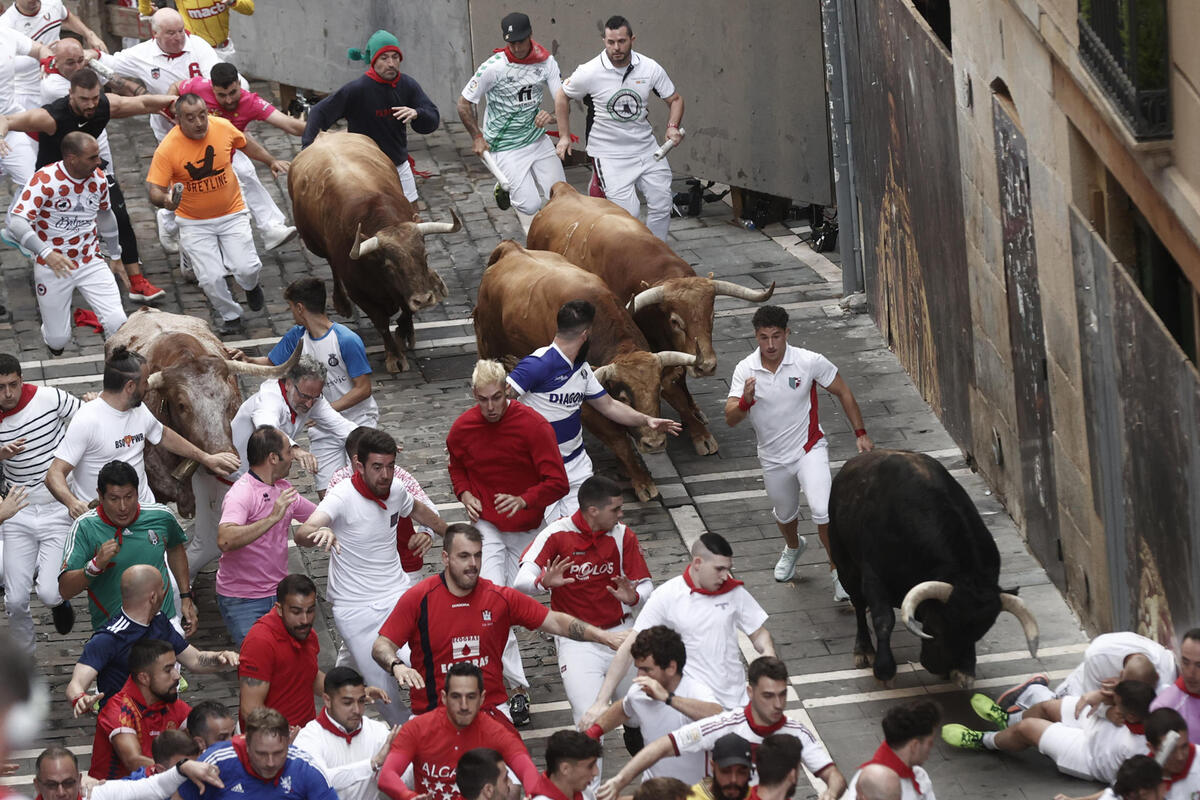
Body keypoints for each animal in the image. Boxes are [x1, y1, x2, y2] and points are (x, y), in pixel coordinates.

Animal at [288, 133, 460, 374]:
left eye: (425, 256)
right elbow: (381, 323)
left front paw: (405, 332)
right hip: (315, 243)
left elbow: (406, 312)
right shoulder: (359, 292)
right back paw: (341, 302)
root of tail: (324, 136)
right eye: (389, 266)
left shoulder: (405, 291)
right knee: (331, 264)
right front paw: (394, 356)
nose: (424, 300)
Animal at [470, 239, 696, 501]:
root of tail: (511, 249)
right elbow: (618, 439)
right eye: (623, 397)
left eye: (658, 390)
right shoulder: (586, 406)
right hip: (488, 347)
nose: (655, 443)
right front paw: (642, 481)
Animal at [528, 181, 772, 455]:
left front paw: (695, 413)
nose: (707, 366)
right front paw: (699, 434)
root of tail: (563, 190)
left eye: (712, 314)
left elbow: (678, 377)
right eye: (675, 321)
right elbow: (670, 387)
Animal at [825, 450, 1041, 690]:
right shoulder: (874, 577)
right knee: (858, 604)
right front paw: (884, 670)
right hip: (845, 565)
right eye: (938, 625)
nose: (938, 667)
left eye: (979, 633)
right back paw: (863, 650)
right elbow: (883, 619)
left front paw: (964, 671)